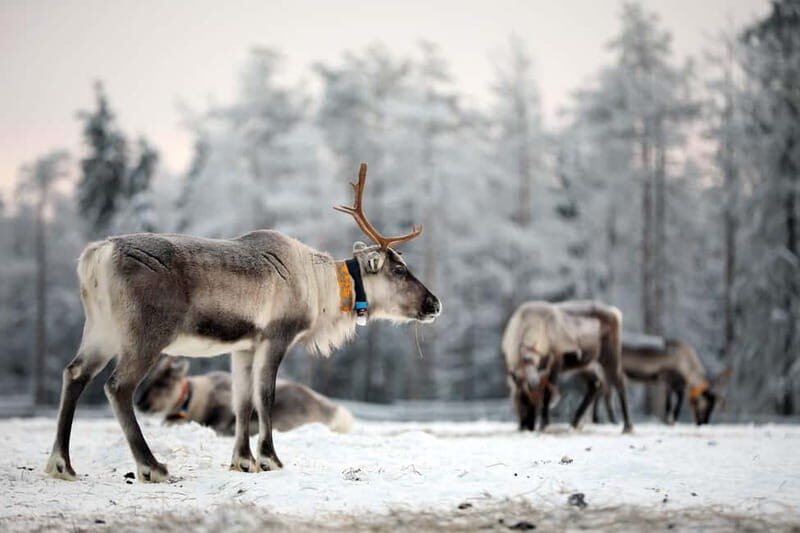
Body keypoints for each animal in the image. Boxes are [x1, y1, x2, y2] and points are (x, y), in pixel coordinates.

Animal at [503, 300, 632, 433]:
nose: (528, 426)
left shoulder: (556, 362)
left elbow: (548, 393)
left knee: (620, 381)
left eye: (536, 401)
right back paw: (574, 423)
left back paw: (627, 427)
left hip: (609, 355)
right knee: (595, 384)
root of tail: (615, 312)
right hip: (585, 365)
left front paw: (544, 424)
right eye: (521, 398)